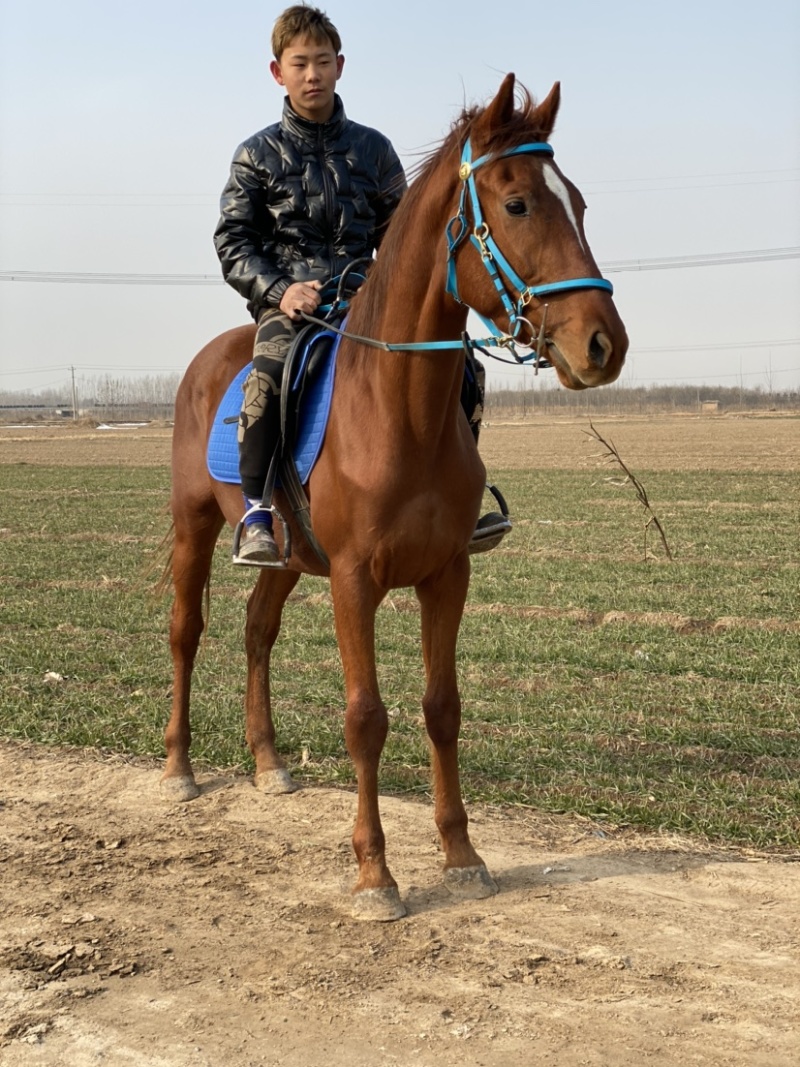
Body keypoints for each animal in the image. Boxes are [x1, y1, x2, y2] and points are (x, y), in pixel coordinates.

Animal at [162, 75, 628, 921]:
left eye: (576, 201)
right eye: (517, 204)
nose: (603, 344)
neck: (397, 410)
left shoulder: (448, 575)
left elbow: (442, 707)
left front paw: (461, 854)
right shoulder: (354, 581)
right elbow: (365, 717)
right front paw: (375, 873)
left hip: (286, 556)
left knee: (256, 632)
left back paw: (268, 762)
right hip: (194, 526)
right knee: (187, 631)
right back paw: (178, 769)